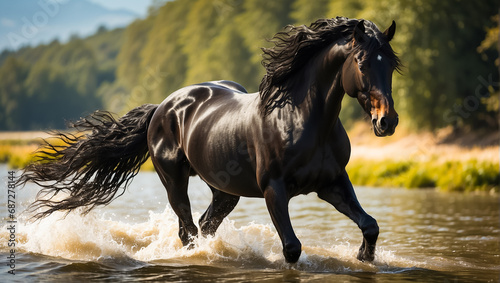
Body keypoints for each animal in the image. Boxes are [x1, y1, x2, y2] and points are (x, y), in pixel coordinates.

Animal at [19, 17, 400, 264]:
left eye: (392, 65)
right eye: (362, 62)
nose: (387, 121)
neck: (301, 119)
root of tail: (162, 107)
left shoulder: (332, 182)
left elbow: (370, 225)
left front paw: (364, 257)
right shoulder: (274, 189)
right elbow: (292, 248)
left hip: (225, 190)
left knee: (204, 226)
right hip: (174, 181)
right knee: (187, 230)